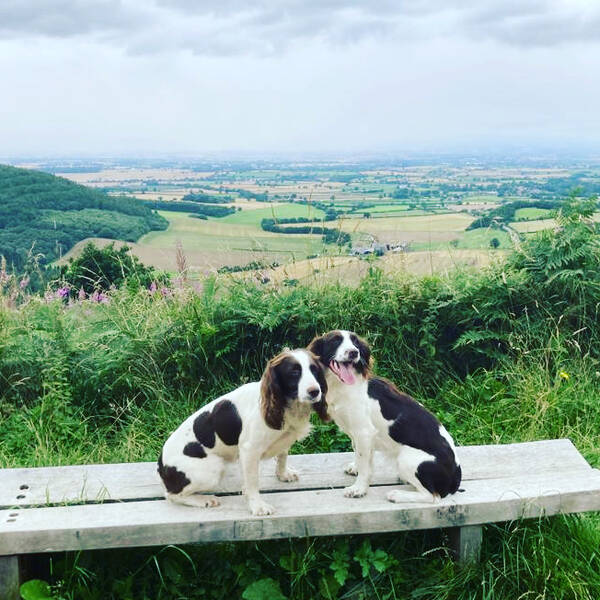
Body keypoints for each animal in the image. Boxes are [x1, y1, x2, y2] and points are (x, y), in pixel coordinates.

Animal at [158, 352, 328, 516]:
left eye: (314, 370)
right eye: (294, 372)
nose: (315, 391)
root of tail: (161, 465)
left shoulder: (283, 438)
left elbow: (282, 456)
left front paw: (283, 474)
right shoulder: (249, 450)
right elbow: (252, 481)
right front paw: (258, 506)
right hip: (213, 469)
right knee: (171, 495)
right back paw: (204, 499)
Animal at [308, 330, 462, 504]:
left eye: (355, 342)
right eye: (335, 341)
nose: (354, 352)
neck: (343, 386)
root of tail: (456, 476)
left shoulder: (364, 432)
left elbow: (364, 464)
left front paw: (359, 489)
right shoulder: (358, 434)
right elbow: (359, 454)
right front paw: (355, 468)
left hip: (407, 460)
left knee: (433, 497)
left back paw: (397, 495)